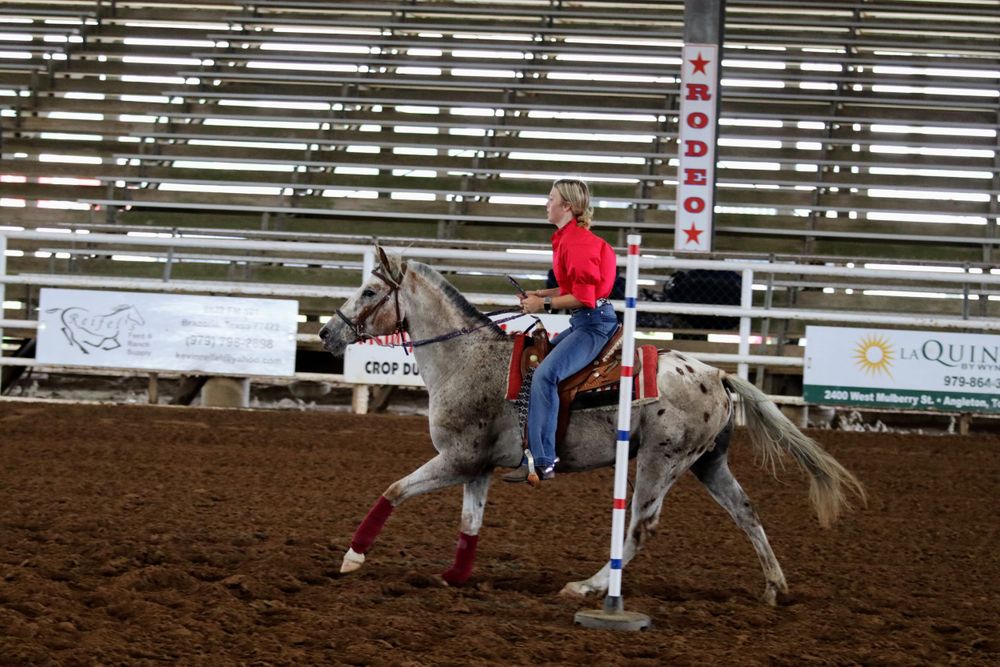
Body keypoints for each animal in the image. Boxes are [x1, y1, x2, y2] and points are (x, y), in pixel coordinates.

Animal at [319, 247, 865, 605]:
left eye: (370, 289)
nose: (326, 332)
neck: (467, 357)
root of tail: (717, 374)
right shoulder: (479, 467)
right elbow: (469, 525)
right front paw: (453, 577)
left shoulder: (457, 459)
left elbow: (393, 490)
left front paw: (352, 558)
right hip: (709, 463)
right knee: (746, 512)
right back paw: (775, 587)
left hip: (660, 461)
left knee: (640, 525)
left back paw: (589, 586)